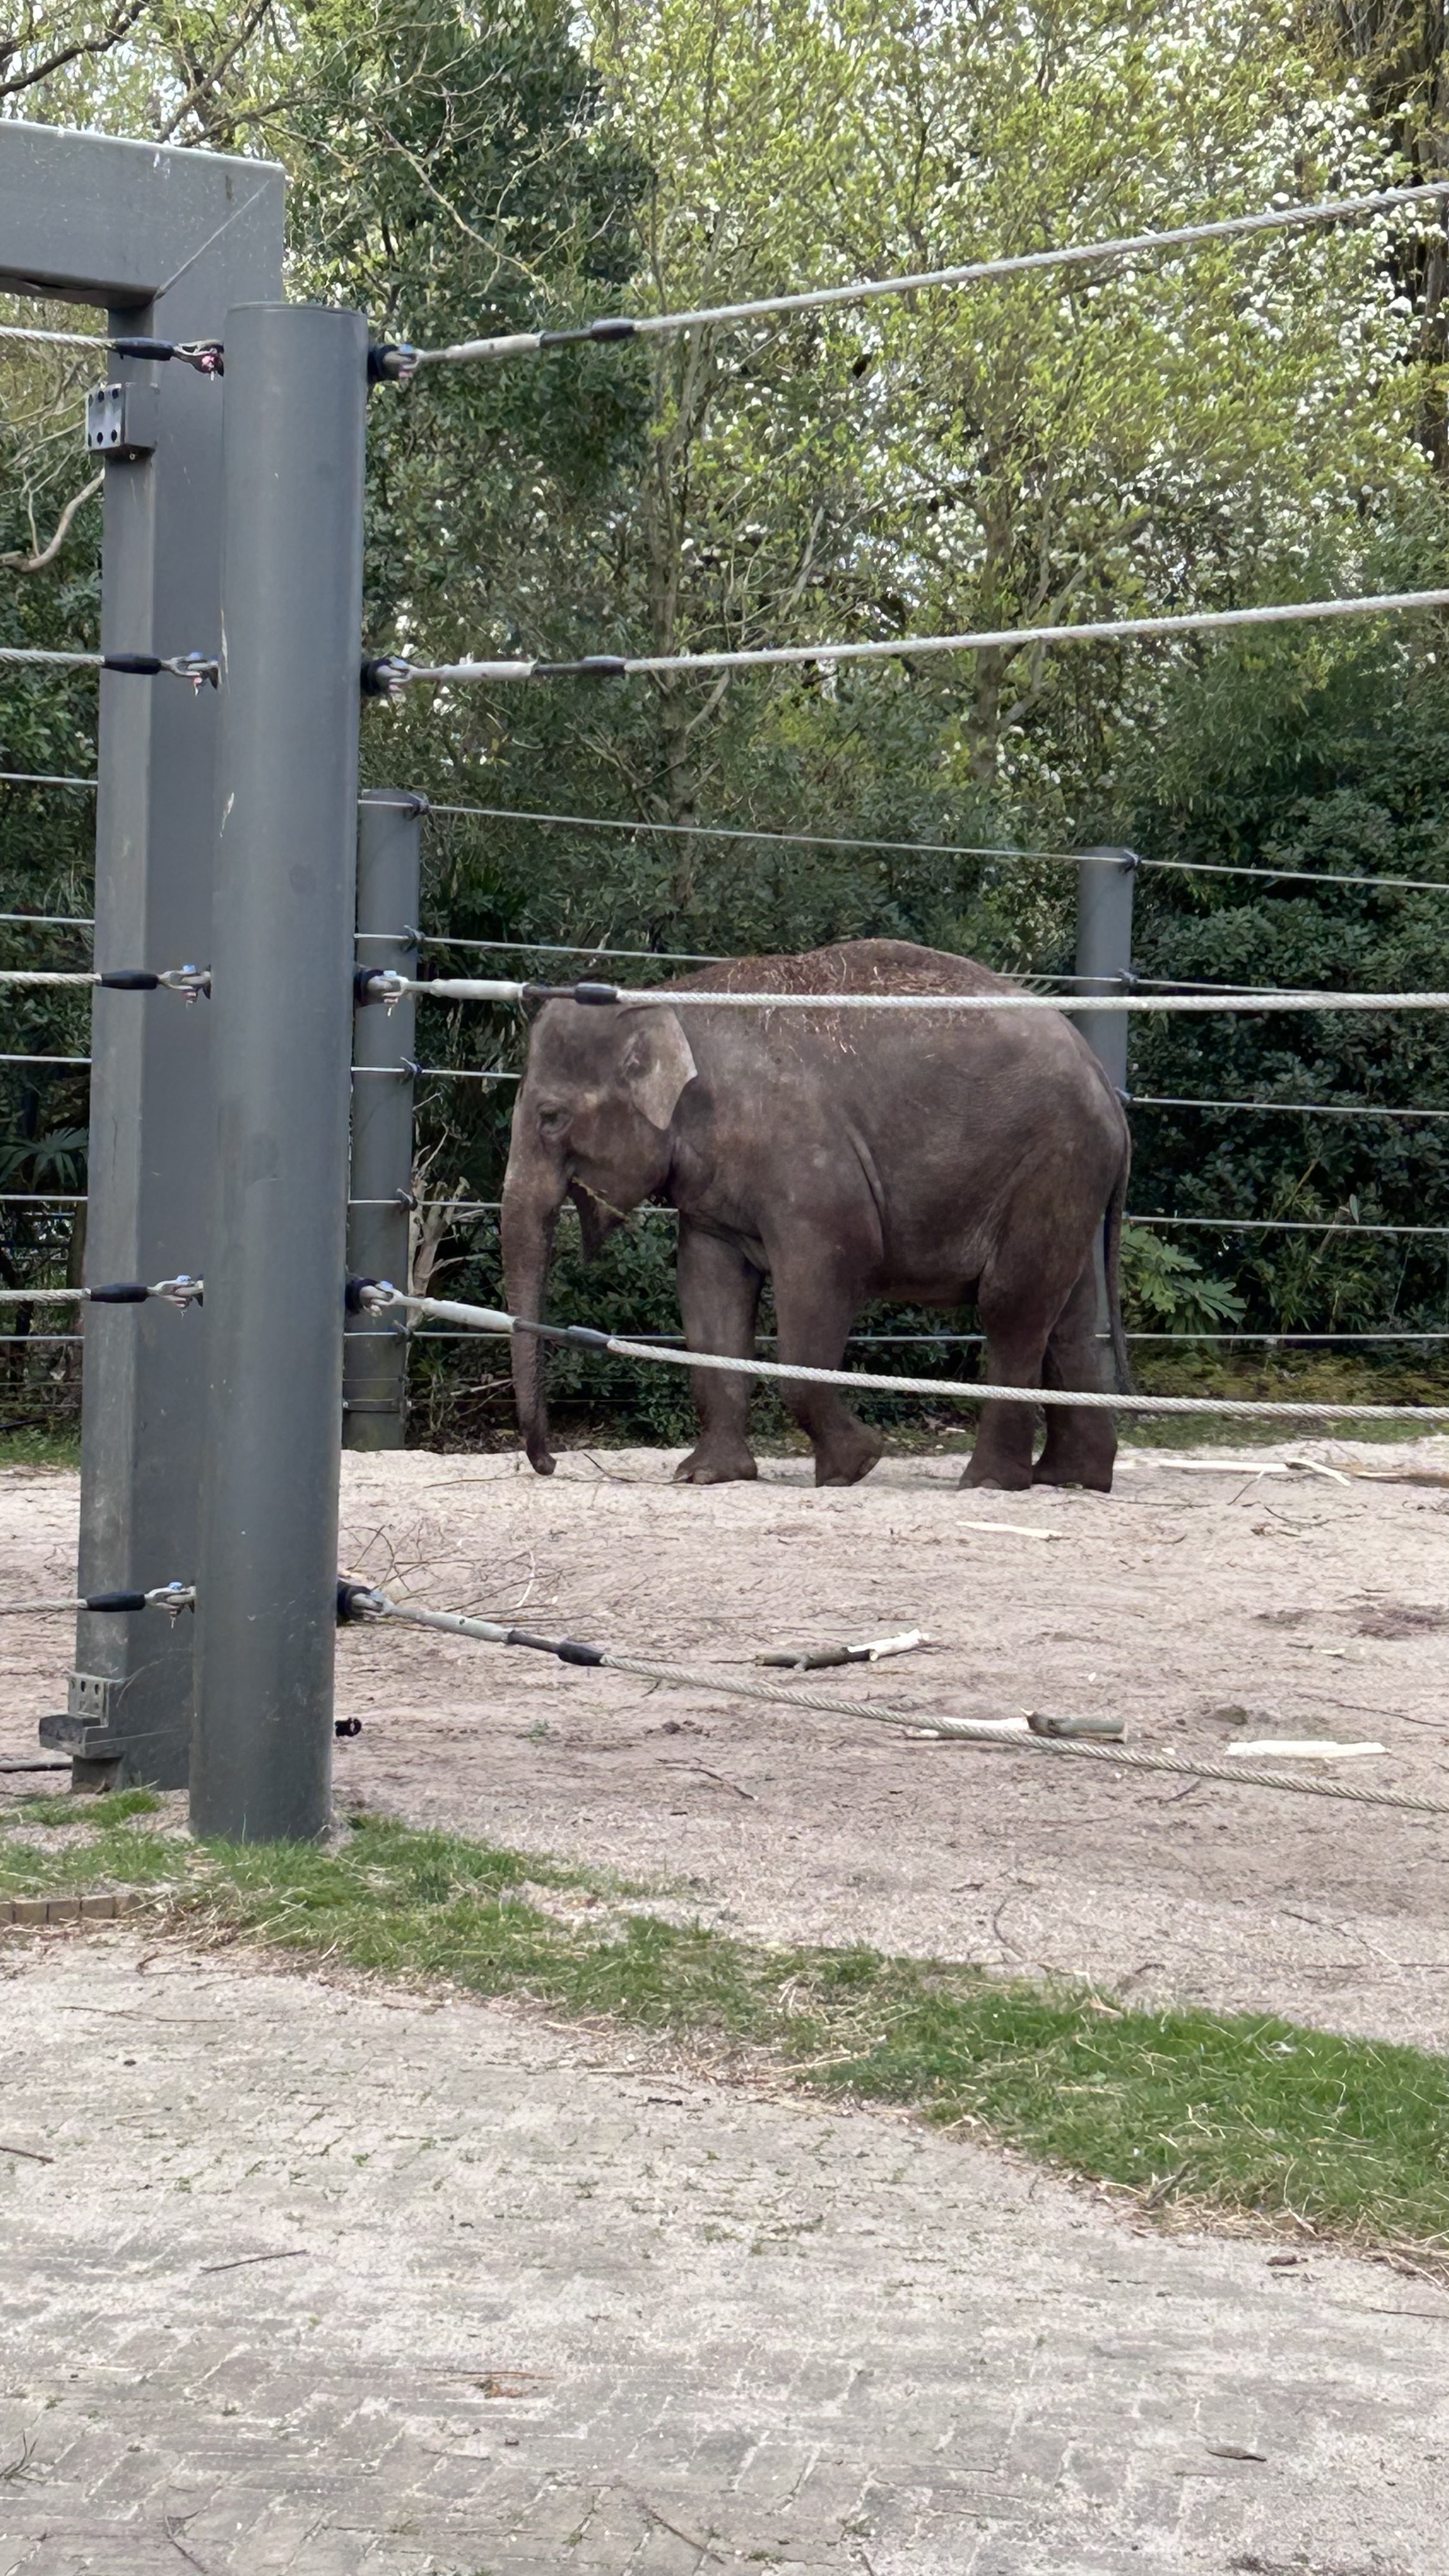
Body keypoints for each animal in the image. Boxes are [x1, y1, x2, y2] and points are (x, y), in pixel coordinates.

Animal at [500, 937, 1131, 1492]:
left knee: (1011, 1306)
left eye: (551, 1118)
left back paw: (990, 1483)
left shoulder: (808, 1167)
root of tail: (1105, 1081)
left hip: (1053, 1159)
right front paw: (706, 1476)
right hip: (1068, 1177)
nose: (549, 1463)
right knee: (1069, 1315)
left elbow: (826, 1277)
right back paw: (1072, 1479)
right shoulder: (713, 1201)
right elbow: (710, 1295)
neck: (669, 1001)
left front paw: (855, 1466)